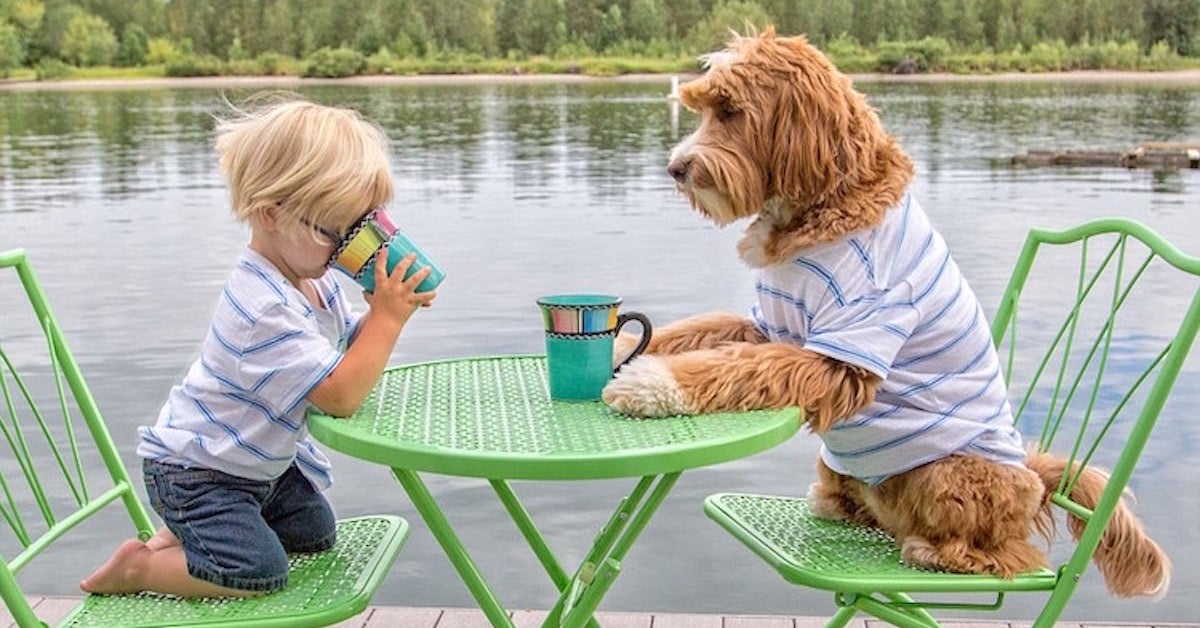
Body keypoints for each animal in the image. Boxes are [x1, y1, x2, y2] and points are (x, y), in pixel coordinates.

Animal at [604, 28, 1166, 600]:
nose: (676, 168)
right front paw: (625, 346)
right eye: (701, 108)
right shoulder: (766, 323)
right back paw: (842, 504)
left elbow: (739, 366)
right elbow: (699, 331)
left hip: (949, 476)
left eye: (731, 111)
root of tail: (1033, 475)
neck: (822, 205)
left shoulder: (843, 350)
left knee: (1009, 553)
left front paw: (650, 383)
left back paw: (934, 551)